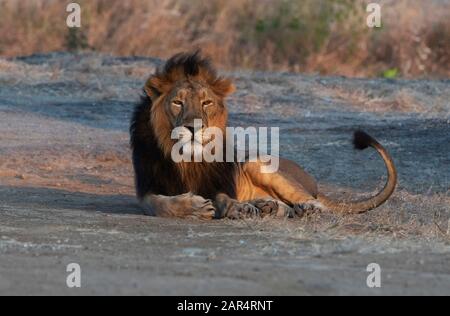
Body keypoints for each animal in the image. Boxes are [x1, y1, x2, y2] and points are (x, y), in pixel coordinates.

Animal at [130, 51, 398, 220]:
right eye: (177, 102)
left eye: (206, 103)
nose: (194, 127)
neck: (187, 159)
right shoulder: (146, 190)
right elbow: (161, 204)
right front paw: (194, 207)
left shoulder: (218, 183)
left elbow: (224, 197)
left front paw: (236, 208)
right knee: (284, 206)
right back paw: (266, 206)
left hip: (256, 162)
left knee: (314, 203)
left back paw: (302, 208)